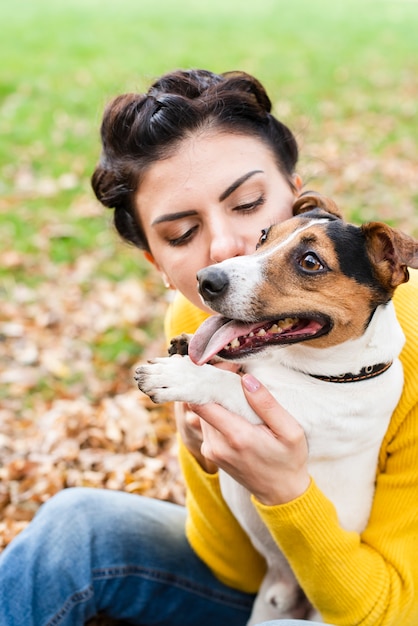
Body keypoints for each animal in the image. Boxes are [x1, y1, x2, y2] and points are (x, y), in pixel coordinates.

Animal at [134, 193, 418, 620]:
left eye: (311, 262)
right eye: (263, 236)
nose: (206, 279)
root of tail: (293, 591)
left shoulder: (297, 416)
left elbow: (233, 385)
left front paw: (180, 376)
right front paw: (186, 346)